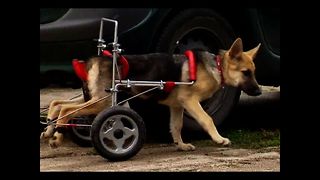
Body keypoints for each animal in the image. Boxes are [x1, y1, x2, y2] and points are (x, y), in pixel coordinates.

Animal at [40, 37, 260, 150]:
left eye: (253, 72)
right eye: (245, 73)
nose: (258, 91)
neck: (217, 67)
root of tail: (95, 59)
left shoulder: (177, 106)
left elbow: (176, 126)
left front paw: (181, 145)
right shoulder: (190, 101)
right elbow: (207, 119)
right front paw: (219, 139)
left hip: (97, 97)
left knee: (57, 104)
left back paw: (50, 131)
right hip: (102, 101)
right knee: (66, 109)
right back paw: (57, 136)